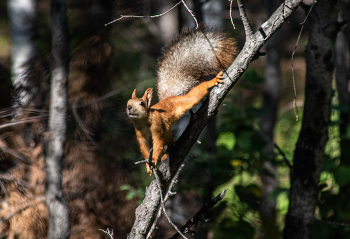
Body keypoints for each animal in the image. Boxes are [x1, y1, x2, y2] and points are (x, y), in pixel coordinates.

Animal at [126, 26, 238, 176]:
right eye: (127, 103)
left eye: (142, 103)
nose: (129, 108)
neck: (144, 120)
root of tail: (170, 98)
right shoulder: (138, 131)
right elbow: (144, 147)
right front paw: (147, 166)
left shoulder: (157, 124)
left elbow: (157, 143)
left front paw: (154, 159)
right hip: (167, 131)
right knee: (171, 141)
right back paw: (166, 154)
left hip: (186, 102)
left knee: (195, 95)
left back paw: (212, 82)